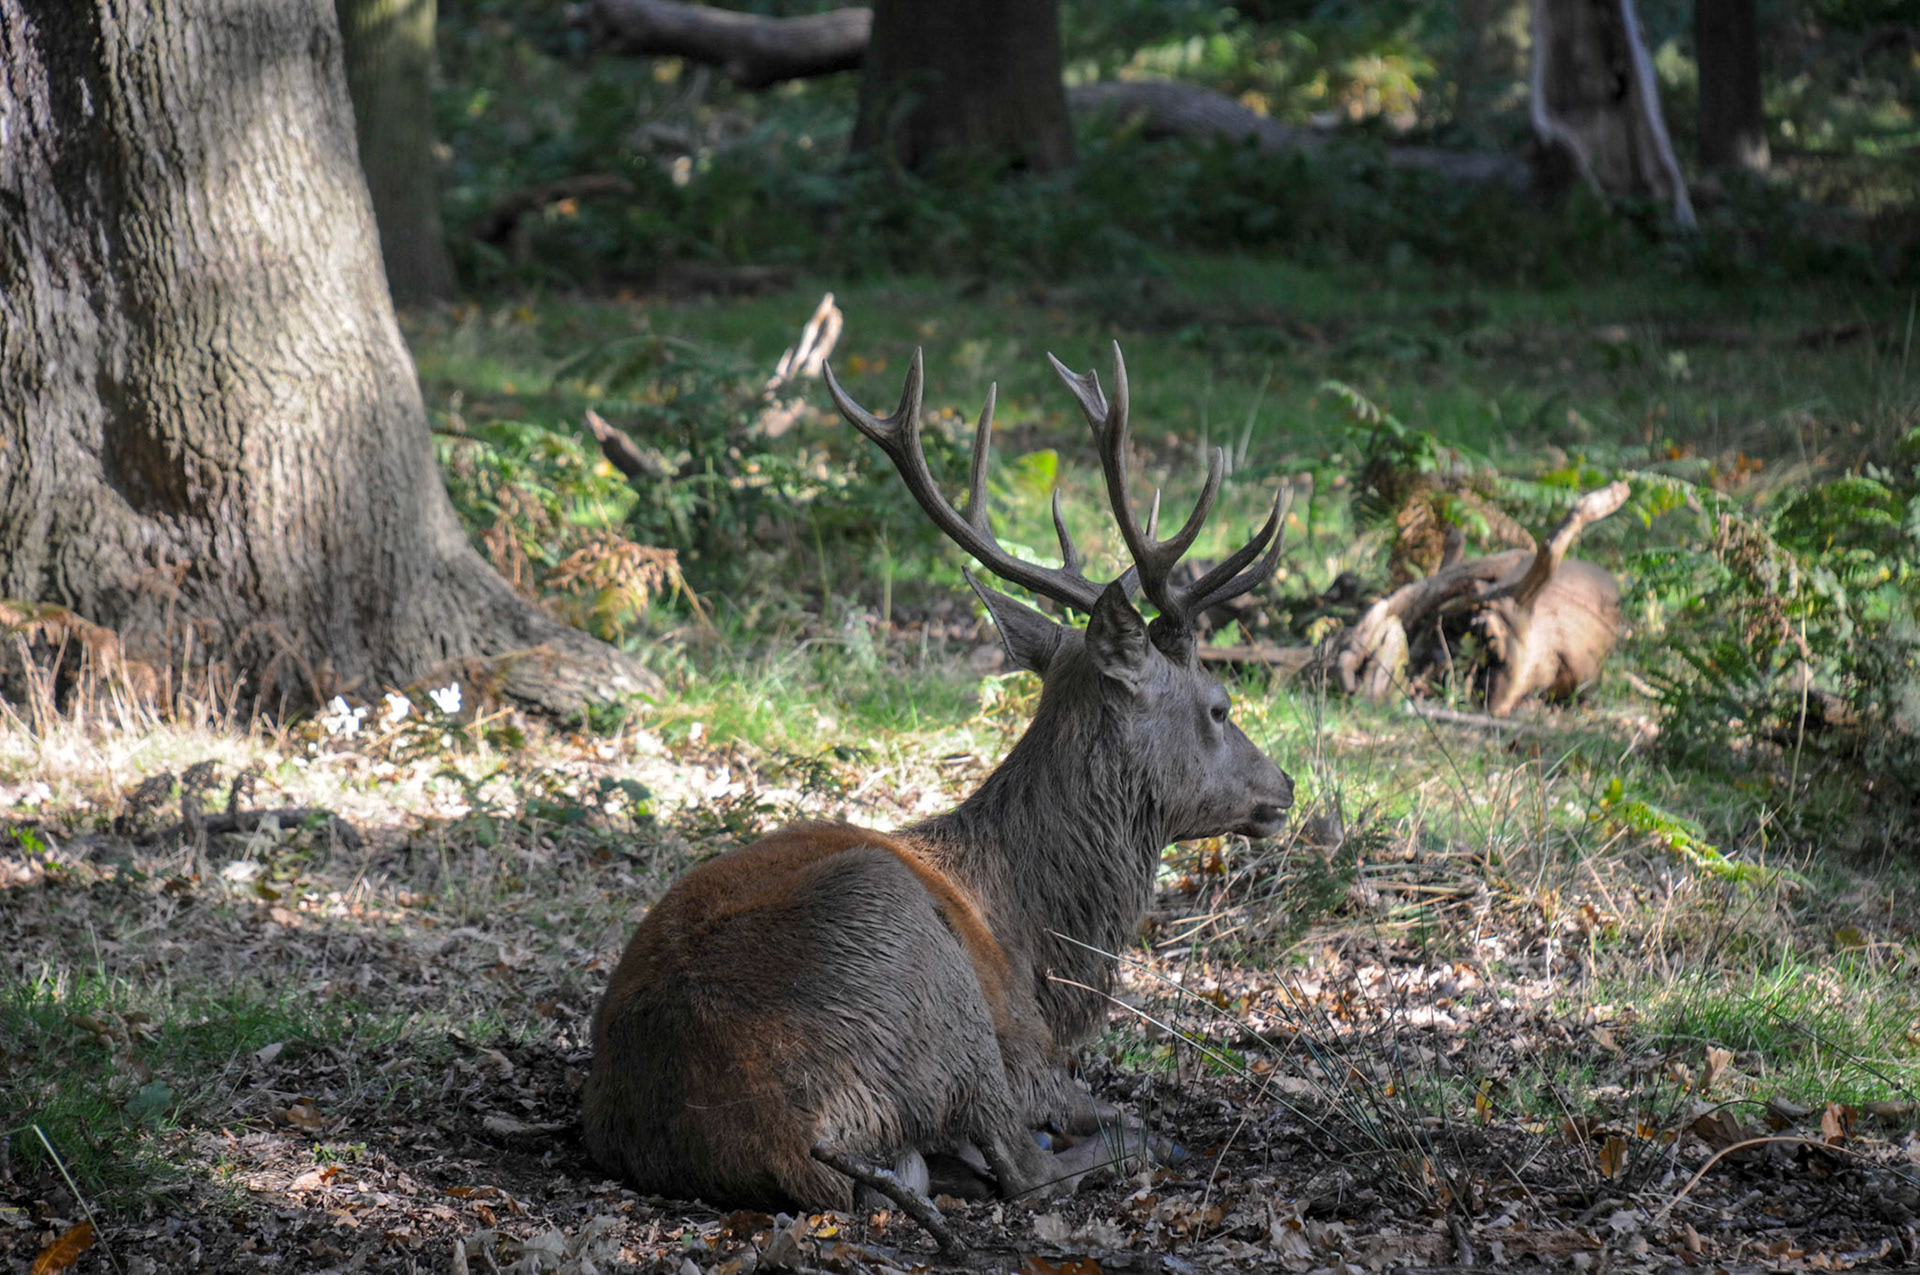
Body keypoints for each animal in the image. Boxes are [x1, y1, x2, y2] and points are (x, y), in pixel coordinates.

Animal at [582, 342, 1294, 1213]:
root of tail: (790, 1140)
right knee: (1021, 1167)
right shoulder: (1028, 1047)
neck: (1041, 944)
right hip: (925, 973)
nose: (1284, 786)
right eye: (1221, 706)